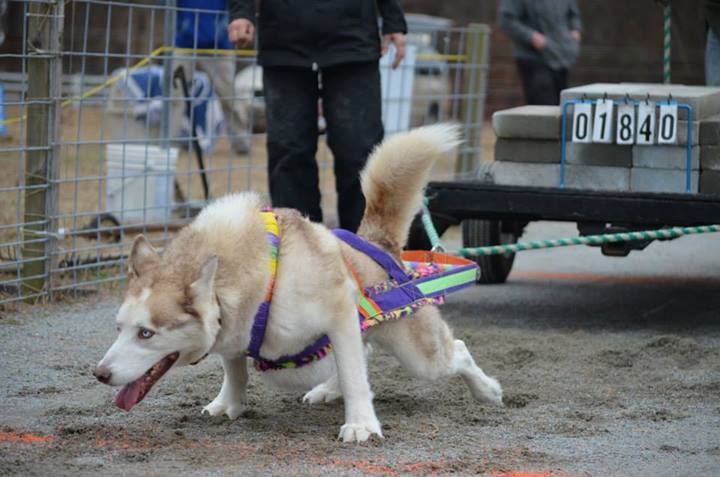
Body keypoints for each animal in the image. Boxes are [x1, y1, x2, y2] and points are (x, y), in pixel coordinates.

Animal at [94, 123, 500, 442]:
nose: (99, 374)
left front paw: (361, 425)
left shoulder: (338, 313)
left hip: (419, 355)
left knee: (455, 351)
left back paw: (487, 390)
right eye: (118, 328)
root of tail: (374, 243)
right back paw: (327, 390)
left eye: (146, 333)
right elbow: (235, 370)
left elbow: (354, 376)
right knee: (364, 352)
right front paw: (229, 404)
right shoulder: (235, 331)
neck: (259, 277)